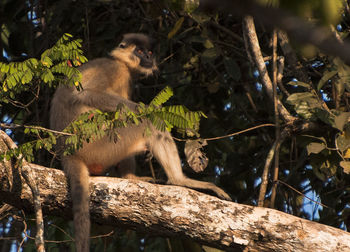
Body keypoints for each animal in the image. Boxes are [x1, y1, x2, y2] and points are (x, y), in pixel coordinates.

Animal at [49, 33, 230, 252]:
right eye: (140, 51)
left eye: (150, 52)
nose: (148, 58)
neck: (122, 64)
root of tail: (67, 152)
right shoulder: (114, 70)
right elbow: (87, 94)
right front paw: (147, 108)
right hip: (99, 146)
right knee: (148, 122)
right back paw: (179, 180)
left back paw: (133, 177)